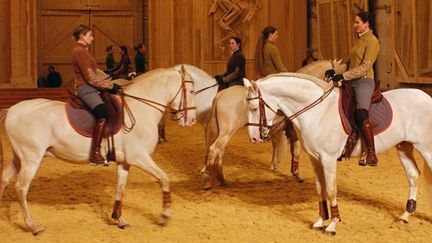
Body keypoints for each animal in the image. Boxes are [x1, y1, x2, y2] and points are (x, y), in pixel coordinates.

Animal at [0, 67, 196, 235]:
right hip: (31, 158)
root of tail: (12, 110)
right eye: (192, 91)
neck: (140, 108)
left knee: (4, 179)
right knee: (21, 188)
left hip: (20, 157)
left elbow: (120, 188)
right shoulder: (139, 157)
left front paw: (119, 219)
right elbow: (164, 177)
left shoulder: (125, 161)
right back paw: (33, 226)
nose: (191, 120)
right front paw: (165, 216)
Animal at [243, 73, 432, 234]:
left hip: (426, 149)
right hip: (404, 146)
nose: (254, 138)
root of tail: (427, 98)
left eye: (254, 108)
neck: (317, 112)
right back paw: (405, 215)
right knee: (413, 175)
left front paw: (332, 224)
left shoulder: (328, 159)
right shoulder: (314, 158)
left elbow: (331, 190)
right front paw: (320, 221)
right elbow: (320, 189)